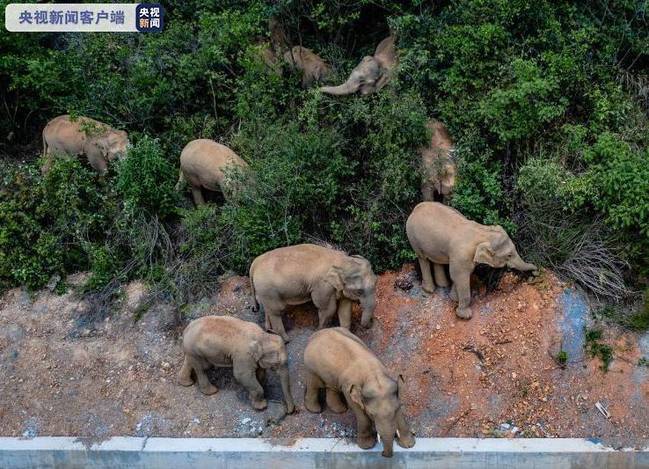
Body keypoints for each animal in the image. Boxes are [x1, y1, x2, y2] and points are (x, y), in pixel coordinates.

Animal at [249, 245, 380, 340]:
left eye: (376, 281)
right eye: (359, 291)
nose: (372, 321)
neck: (343, 261)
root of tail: (254, 263)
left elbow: (345, 310)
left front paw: (346, 334)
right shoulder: (323, 286)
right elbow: (328, 309)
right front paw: (319, 331)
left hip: (265, 292)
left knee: (269, 309)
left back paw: (269, 331)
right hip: (268, 290)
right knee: (276, 311)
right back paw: (286, 340)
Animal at [304, 328, 416, 456]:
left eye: (396, 409)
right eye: (372, 414)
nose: (383, 454)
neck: (373, 375)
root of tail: (316, 334)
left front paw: (409, 445)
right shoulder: (349, 389)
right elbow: (360, 413)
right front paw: (367, 446)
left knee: (331, 386)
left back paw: (340, 410)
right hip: (311, 367)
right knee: (314, 384)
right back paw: (315, 410)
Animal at [404, 201, 536, 318]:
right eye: (509, 255)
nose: (535, 273)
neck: (482, 232)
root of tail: (416, 208)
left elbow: (459, 276)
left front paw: (453, 298)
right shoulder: (461, 255)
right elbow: (459, 276)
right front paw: (465, 315)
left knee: (437, 260)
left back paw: (443, 285)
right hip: (412, 236)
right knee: (423, 258)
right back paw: (429, 290)